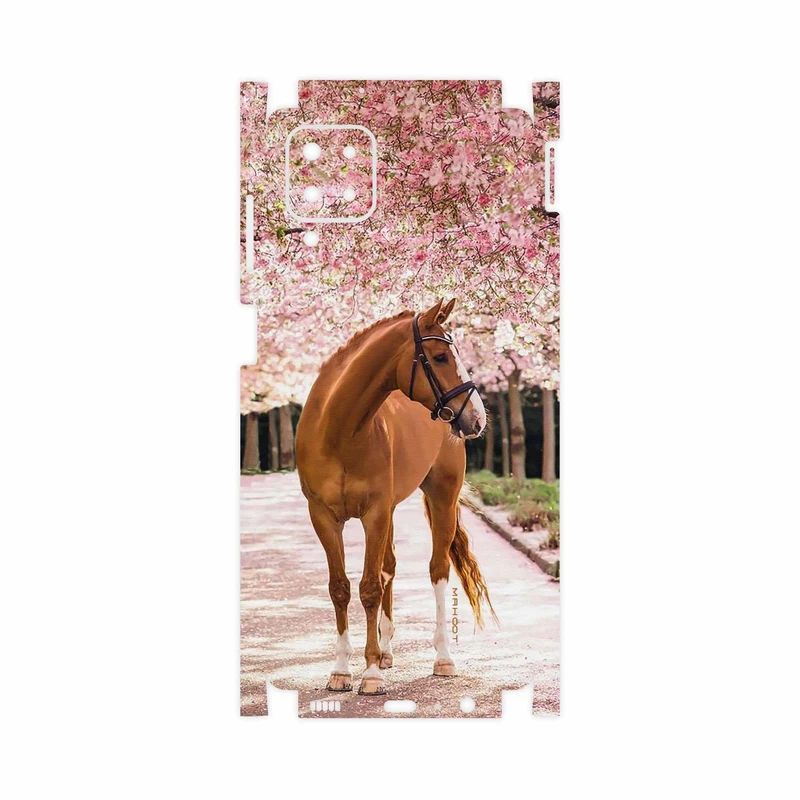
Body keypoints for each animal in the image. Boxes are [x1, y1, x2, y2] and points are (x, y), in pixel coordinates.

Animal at [295, 298, 496, 695]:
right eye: (439, 357)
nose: (477, 418)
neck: (339, 431)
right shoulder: (324, 516)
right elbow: (340, 588)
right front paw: (341, 670)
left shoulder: (374, 513)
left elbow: (370, 588)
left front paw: (370, 674)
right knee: (389, 567)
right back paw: (386, 651)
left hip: (441, 497)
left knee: (437, 570)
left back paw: (442, 658)